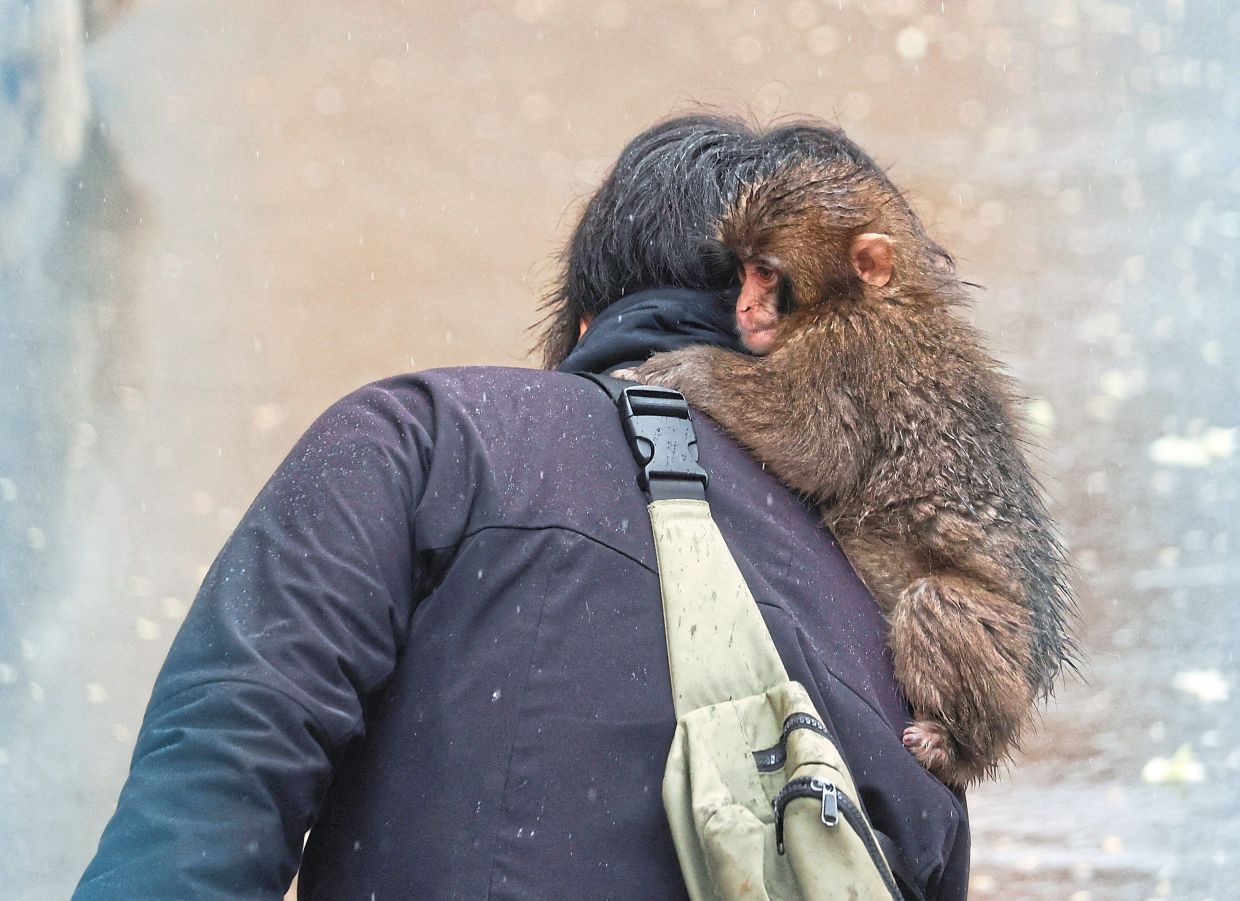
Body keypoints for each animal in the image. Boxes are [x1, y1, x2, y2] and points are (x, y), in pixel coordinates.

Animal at [627, 132, 1075, 788]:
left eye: (767, 272)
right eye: (742, 270)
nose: (745, 309)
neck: (868, 296)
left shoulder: (842, 343)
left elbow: (819, 450)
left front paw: (688, 368)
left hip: (1004, 662)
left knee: (935, 603)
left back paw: (953, 746)